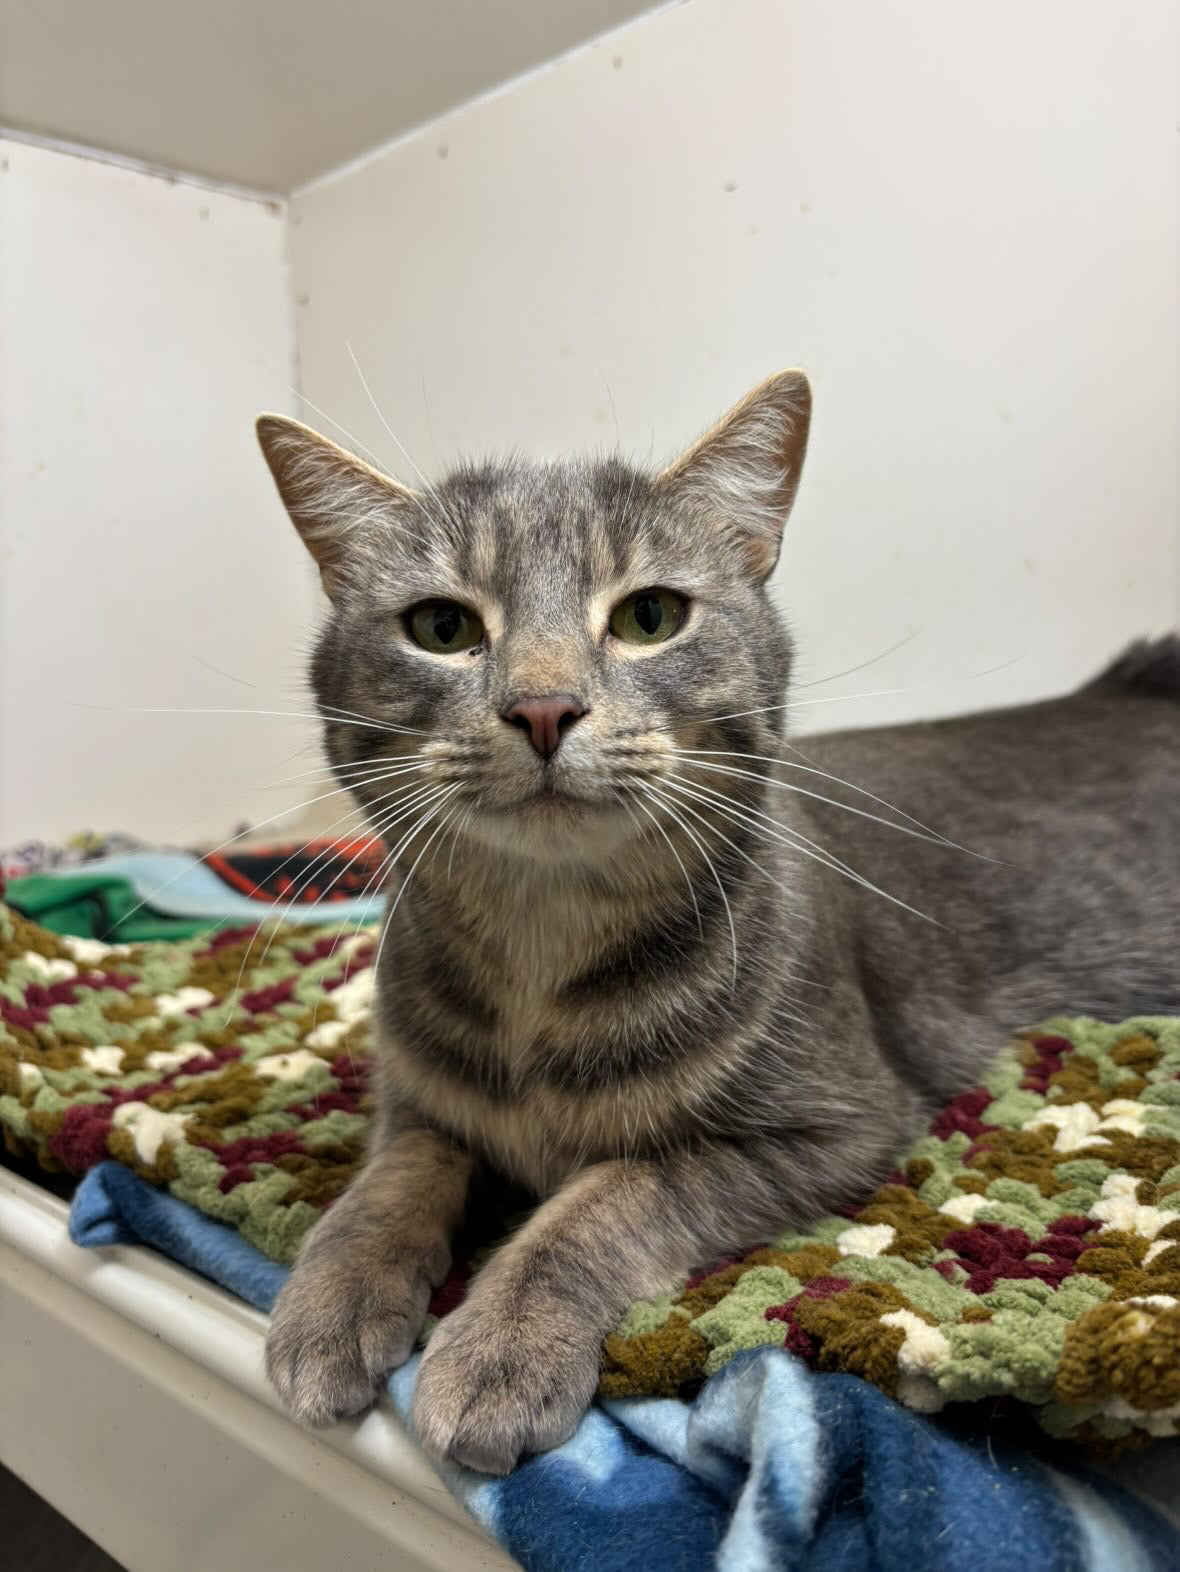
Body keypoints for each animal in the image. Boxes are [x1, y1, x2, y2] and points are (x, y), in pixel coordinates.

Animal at [254, 377, 1175, 1471]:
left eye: (649, 616)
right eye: (440, 627)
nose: (543, 707)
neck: (540, 946)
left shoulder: (833, 1125)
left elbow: (603, 1201)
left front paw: (502, 1342)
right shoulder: (418, 1103)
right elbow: (387, 1187)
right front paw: (331, 1298)